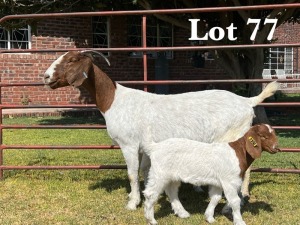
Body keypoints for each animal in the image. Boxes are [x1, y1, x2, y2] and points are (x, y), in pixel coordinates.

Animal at [43, 50, 278, 209]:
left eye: (71, 60)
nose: (45, 77)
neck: (114, 100)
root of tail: (247, 101)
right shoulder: (144, 147)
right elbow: (144, 171)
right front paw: (146, 194)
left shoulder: (129, 144)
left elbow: (131, 174)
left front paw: (132, 203)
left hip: (233, 134)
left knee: (245, 168)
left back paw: (238, 200)